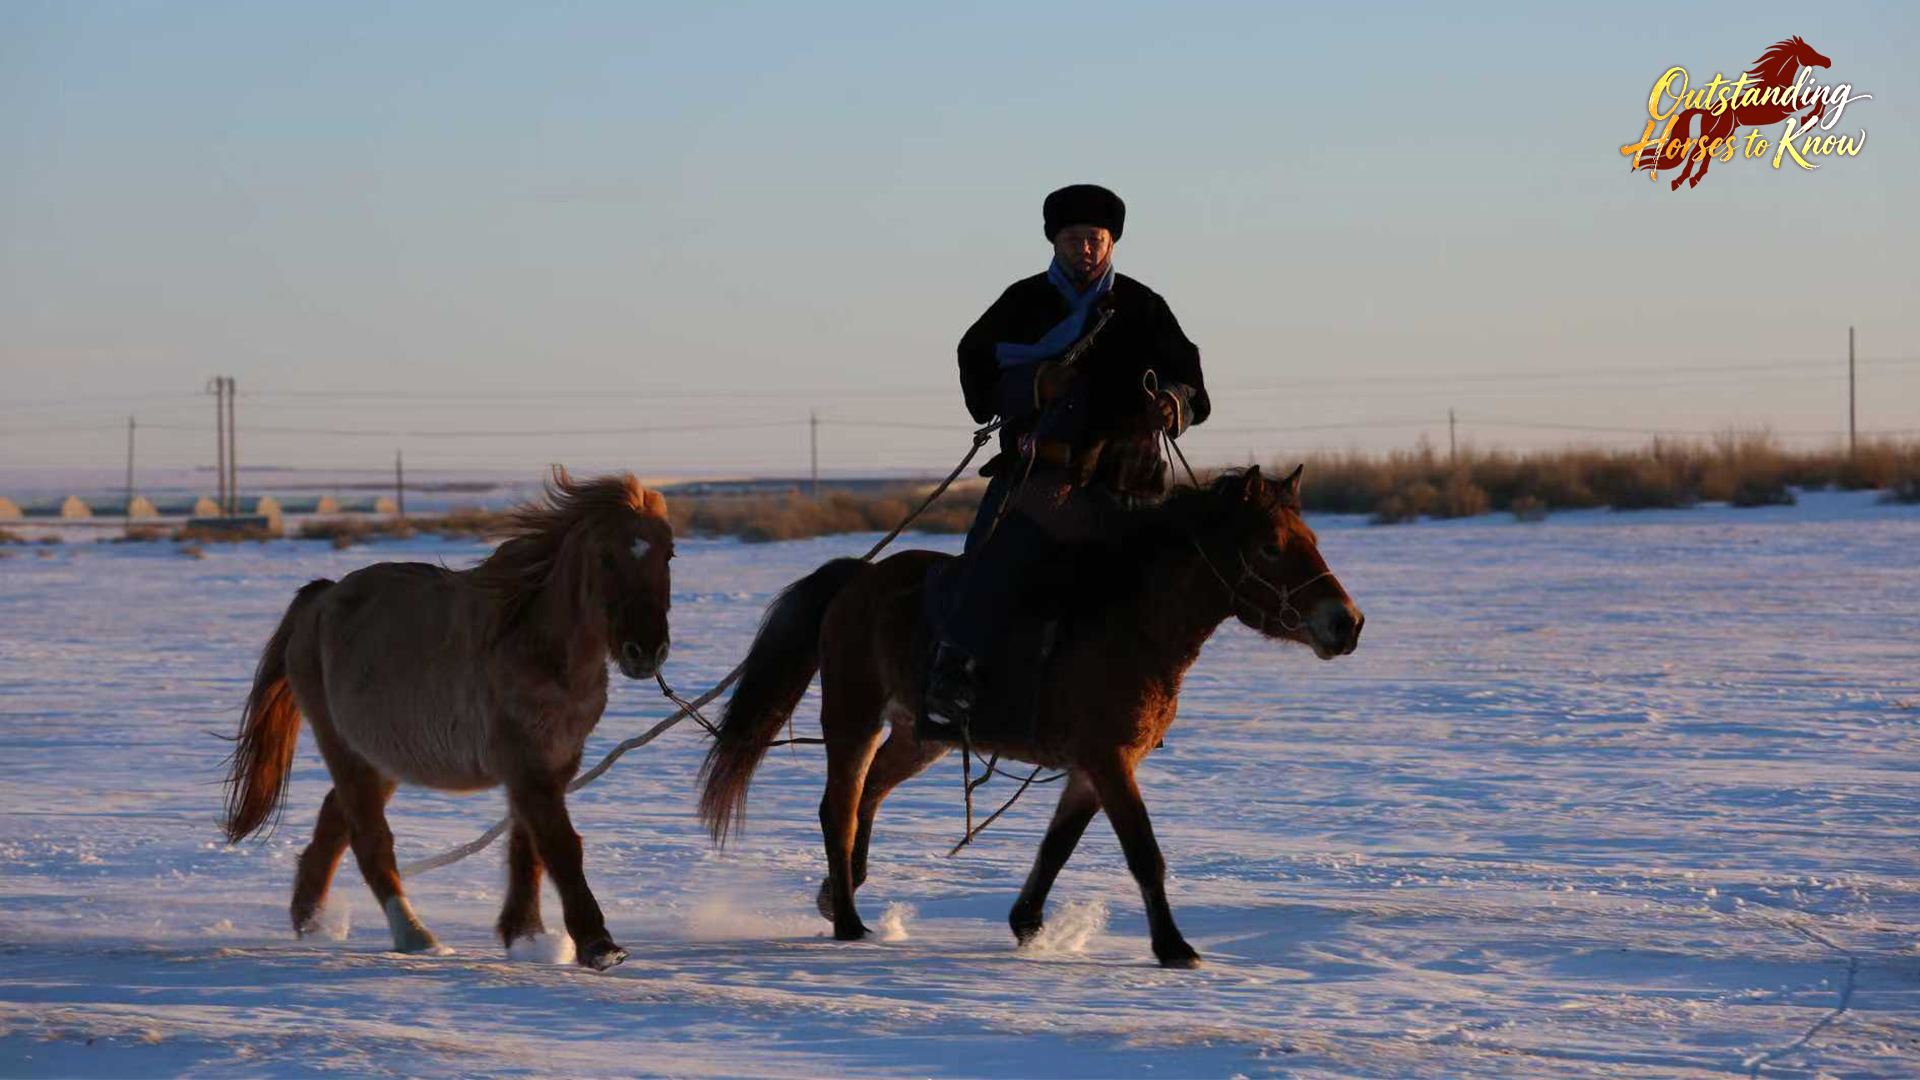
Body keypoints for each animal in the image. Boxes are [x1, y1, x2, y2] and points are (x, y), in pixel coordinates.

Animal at [220, 469, 675, 971]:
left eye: (669, 554)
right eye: (606, 558)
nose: (646, 650)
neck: (540, 652)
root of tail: (321, 598)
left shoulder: (554, 763)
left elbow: (528, 846)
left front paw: (527, 937)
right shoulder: (525, 763)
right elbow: (558, 844)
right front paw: (597, 944)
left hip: (380, 757)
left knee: (334, 821)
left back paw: (314, 924)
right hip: (342, 746)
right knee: (369, 838)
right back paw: (415, 936)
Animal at [698, 464, 1362, 968]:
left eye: (1312, 538)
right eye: (1272, 546)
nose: (1346, 623)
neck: (1131, 623)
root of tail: (859, 576)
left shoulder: (1092, 769)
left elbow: (1057, 848)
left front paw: (1028, 924)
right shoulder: (1109, 760)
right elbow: (1144, 853)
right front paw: (1174, 948)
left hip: (919, 737)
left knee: (869, 795)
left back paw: (841, 893)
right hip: (853, 717)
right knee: (839, 808)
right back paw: (848, 922)